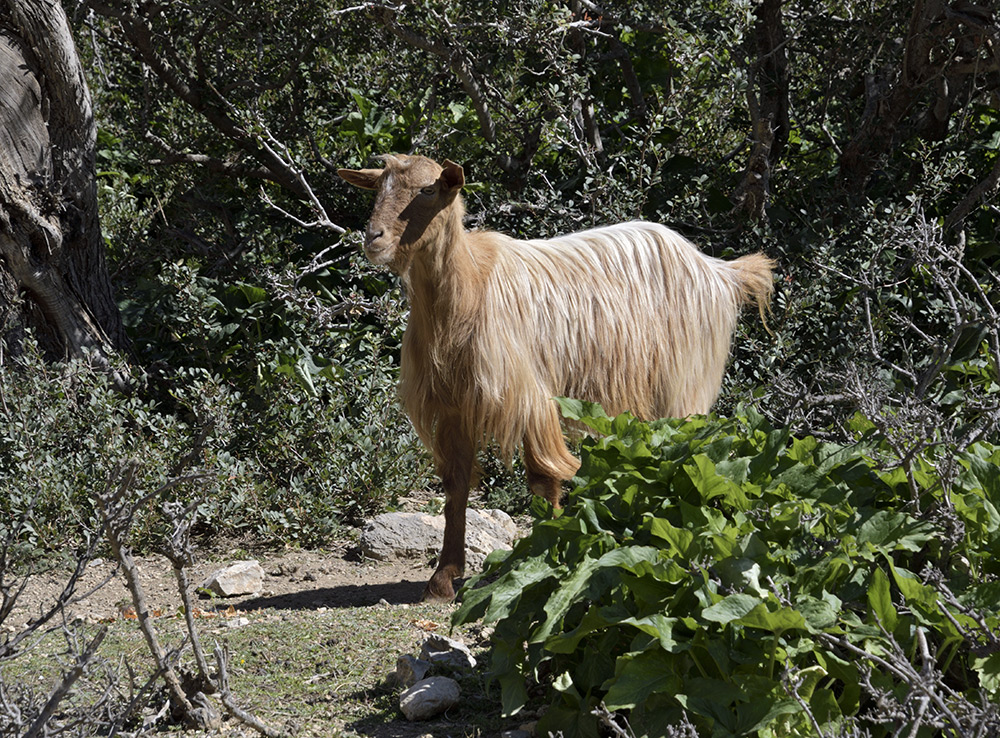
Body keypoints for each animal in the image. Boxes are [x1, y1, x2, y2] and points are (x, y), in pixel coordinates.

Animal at [340, 154, 776, 600]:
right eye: (378, 187)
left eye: (428, 190)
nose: (373, 238)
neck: (468, 291)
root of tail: (718, 270)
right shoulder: (452, 406)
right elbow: (456, 486)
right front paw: (443, 578)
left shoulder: (531, 397)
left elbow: (543, 480)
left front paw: (546, 558)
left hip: (685, 380)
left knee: (689, 449)